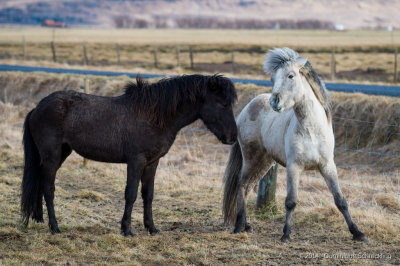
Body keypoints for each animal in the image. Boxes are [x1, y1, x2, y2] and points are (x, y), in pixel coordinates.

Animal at [21, 74, 238, 236]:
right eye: (223, 104)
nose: (233, 137)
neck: (154, 116)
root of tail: (37, 108)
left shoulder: (152, 163)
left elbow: (148, 194)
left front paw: (152, 228)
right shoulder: (136, 161)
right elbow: (131, 194)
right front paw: (126, 229)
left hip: (60, 154)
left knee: (41, 183)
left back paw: (39, 218)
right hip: (52, 156)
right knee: (49, 188)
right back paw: (55, 227)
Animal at [222, 46, 368, 242]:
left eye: (291, 76)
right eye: (272, 79)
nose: (274, 102)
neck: (311, 130)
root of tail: (248, 107)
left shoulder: (328, 166)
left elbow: (340, 200)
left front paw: (358, 233)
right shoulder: (294, 167)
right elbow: (291, 201)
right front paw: (286, 234)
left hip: (264, 162)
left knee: (247, 187)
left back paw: (246, 225)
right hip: (251, 159)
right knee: (242, 185)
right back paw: (239, 226)